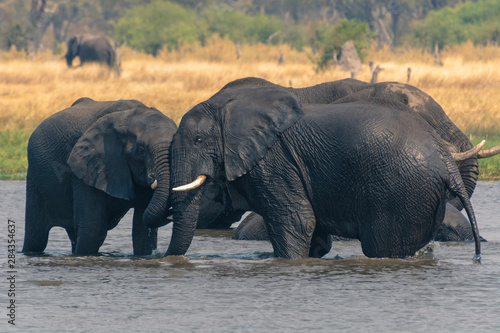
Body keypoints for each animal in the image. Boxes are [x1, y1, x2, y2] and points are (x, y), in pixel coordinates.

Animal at [22, 96, 177, 254]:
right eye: (141, 150)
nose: (171, 212)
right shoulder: (85, 167)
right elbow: (92, 229)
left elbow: (142, 230)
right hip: (35, 176)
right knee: (37, 238)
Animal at [167, 85, 480, 260]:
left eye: (198, 140)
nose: (161, 257)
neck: (227, 107)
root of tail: (446, 161)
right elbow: (314, 232)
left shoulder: (274, 162)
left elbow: (297, 221)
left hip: (401, 192)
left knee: (382, 248)